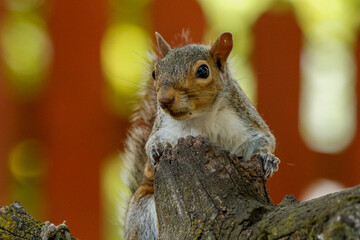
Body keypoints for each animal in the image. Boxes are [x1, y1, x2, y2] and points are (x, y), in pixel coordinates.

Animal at [122, 32, 280, 240]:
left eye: (204, 71)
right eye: (155, 72)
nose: (164, 99)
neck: (201, 117)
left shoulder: (244, 120)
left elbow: (264, 139)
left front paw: (266, 158)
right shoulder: (164, 127)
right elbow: (150, 144)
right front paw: (159, 147)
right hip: (143, 213)